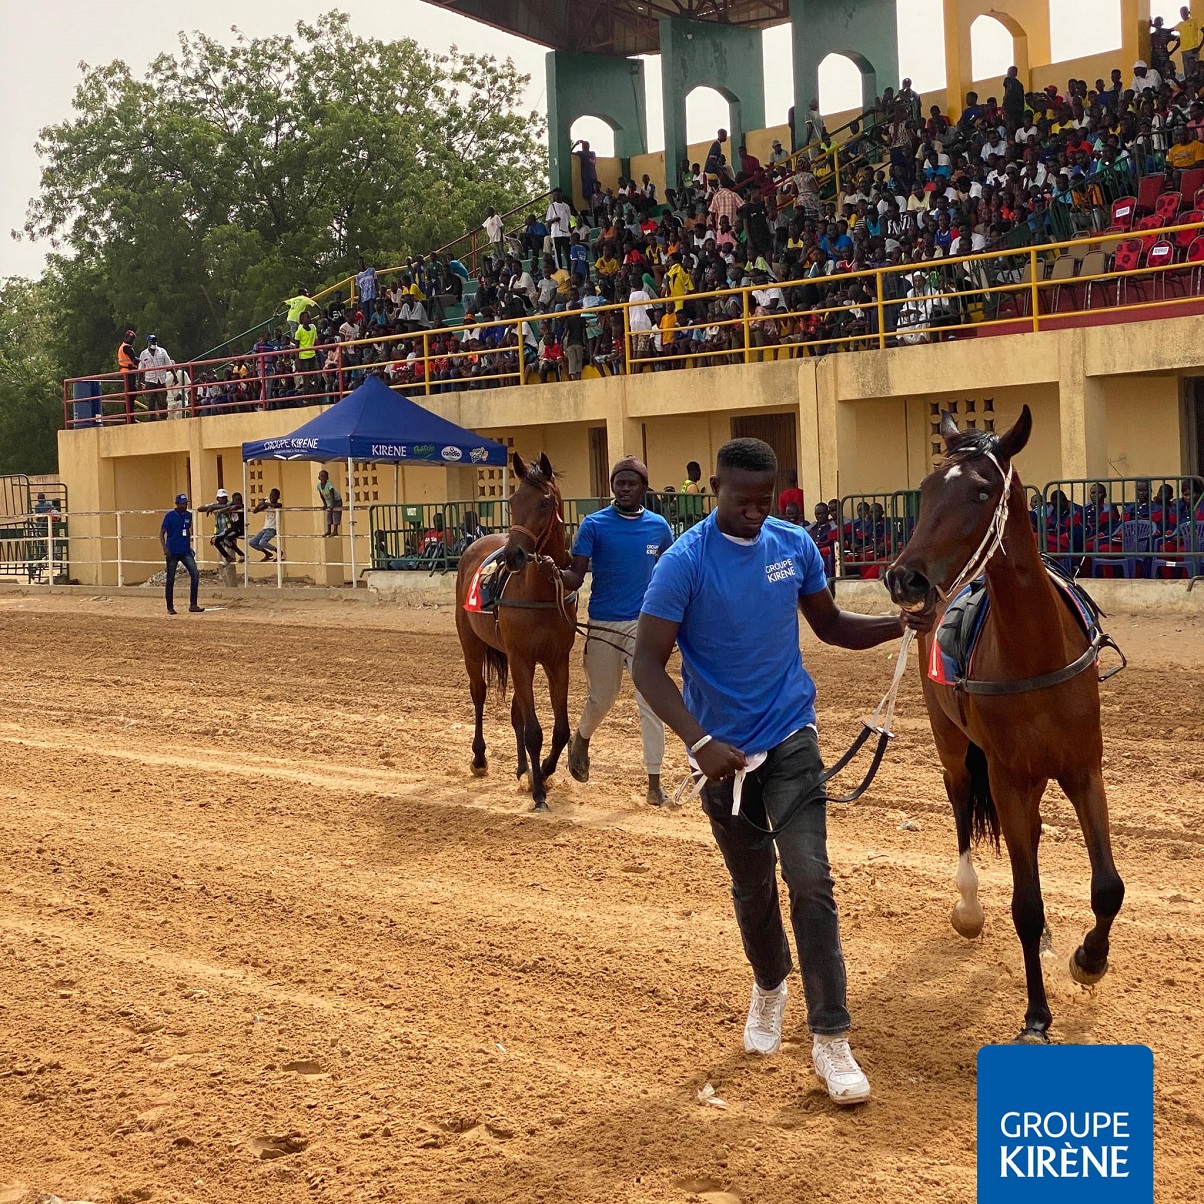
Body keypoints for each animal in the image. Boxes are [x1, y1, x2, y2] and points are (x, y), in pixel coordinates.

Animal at [455, 452, 577, 809]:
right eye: (512, 501)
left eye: (545, 502)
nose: (514, 555)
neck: (539, 592)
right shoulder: (522, 658)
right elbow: (534, 730)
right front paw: (538, 793)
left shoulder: (556, 661)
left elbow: (559, 730)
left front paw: (543, 774)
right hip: (471, 645)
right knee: (479, 693)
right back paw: (479, 758)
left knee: (515, 713)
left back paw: (523, 768)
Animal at [881, 406, 1122, 1045]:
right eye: (925, 489)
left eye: (982, 490)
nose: (905, 579)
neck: (1034, 653)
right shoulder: (1008, 779)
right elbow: (1025, 906)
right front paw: (1037, 1014)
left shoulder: (1083, 770)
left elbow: (1107, 887)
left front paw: (1089, 960)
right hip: (955, 750)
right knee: (963, 809)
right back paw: (968, 909)